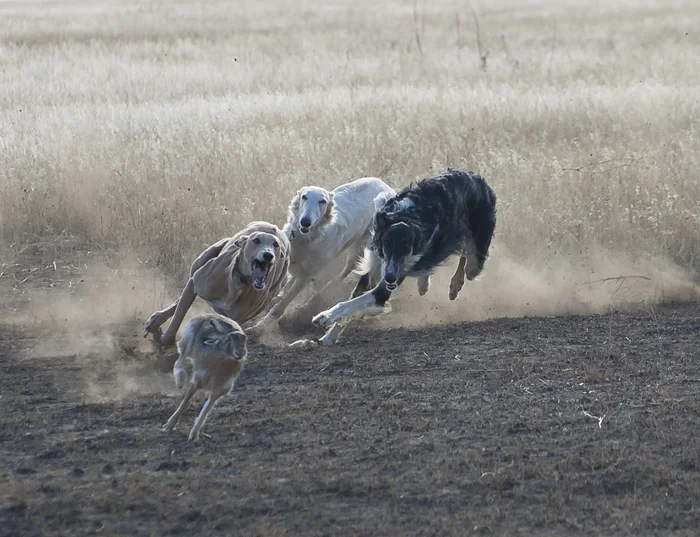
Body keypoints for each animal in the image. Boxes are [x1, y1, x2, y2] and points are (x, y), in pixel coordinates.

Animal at [144, 221, 290, 348]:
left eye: (276, 244)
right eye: (256, 240)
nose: (268, 255)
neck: (239, 285)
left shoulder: (235, 319)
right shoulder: (196, 282)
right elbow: (178, 316)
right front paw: (165, 341)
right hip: (203, 259)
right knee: (182, 295)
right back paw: (157, 319)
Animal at [248, 177, 395, 344]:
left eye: (322, 201)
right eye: (304, 196)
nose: (305, 222)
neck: (304, 239)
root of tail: (384, 185)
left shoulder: (305, 276)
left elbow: (281, 305)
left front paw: (259, 327)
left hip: (360, 250)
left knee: (344, 272)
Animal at [311, 168, 497, 343]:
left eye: (407, 247)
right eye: (386, 244)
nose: (390, 278)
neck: (405, 215)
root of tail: (476, 177)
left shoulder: (384, 287)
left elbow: (349, 304)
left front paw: (325, 316)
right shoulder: (376, 266)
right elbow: (352, 301)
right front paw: (328, 338)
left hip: (474, 259)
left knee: (467, 257)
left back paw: (455, 285)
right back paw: (425, 283)